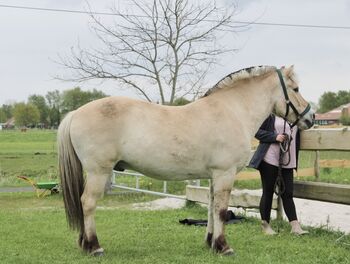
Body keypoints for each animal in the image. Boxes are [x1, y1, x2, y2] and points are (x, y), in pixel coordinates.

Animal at [57, 65, 314, 256]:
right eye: (296, 88)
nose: (310, 117)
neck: (233, 111)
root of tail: (75, 113)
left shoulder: (213, 175)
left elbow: (211, 208)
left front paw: (211, 243)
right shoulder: (225, 173)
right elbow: (221, 210)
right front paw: (224, 247)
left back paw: (84, 244)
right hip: (98, 171)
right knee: (88, 203)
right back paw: (94, 246)